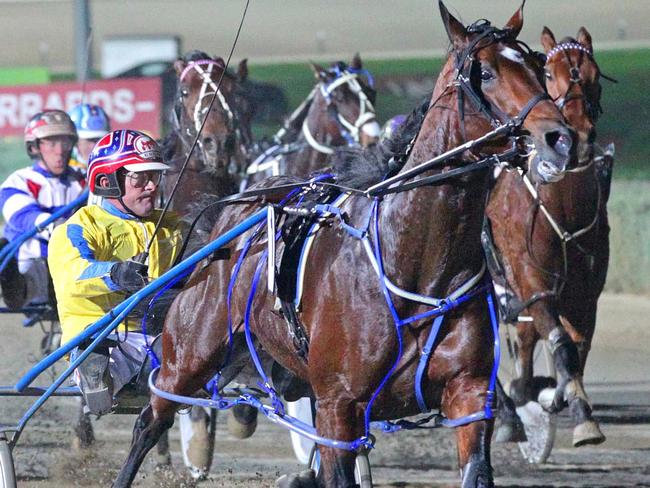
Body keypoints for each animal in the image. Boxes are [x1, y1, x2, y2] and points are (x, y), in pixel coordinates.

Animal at [484, 25, 612, 446]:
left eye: (593, 75)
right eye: (549, 75)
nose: (578, 137)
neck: (563, 208)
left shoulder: (585, 294)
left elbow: (576, 348)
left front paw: (567, 401)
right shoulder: (533, 285)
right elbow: (560, 342)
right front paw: (580, 415)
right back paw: (508, 414)